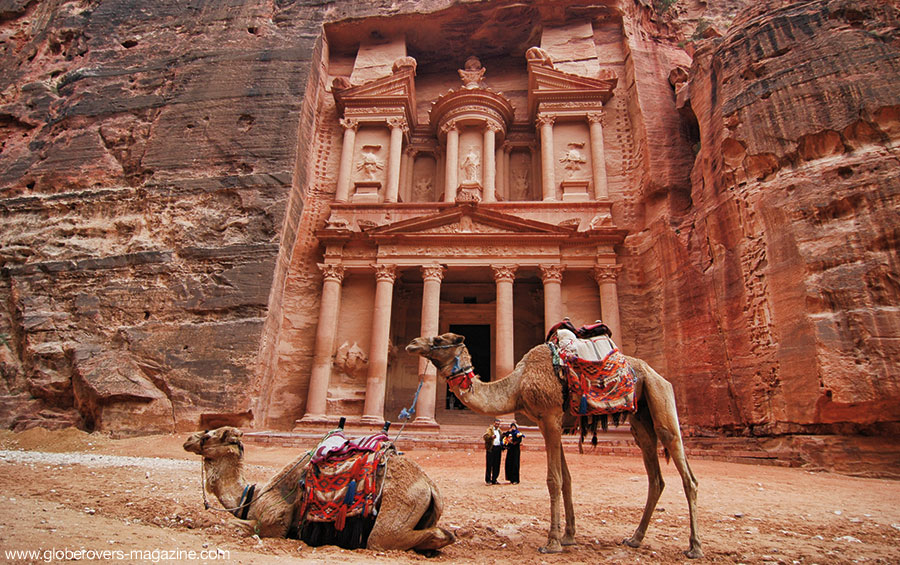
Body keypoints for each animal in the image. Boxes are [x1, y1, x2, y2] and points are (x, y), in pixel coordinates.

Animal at [187, 428, 460, 552]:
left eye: (209, 436)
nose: (189, 439)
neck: (253, 495)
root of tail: (429, 485)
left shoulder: (275, 521)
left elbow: (235, 525)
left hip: (397, 511)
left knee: (385, 539)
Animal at [408, 330, 704, 556]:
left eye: (438, 339)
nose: (413, 343)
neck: (517, 385)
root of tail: (656, 374)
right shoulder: (550, 423)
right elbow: (567, 480)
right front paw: (569, 536)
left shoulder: (550, 417)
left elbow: (553, 480)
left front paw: (551, 542)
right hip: (640, 417)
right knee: (656, 477)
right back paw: (635, 538)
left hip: (660, 398)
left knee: (686, 472)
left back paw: (694, 547)